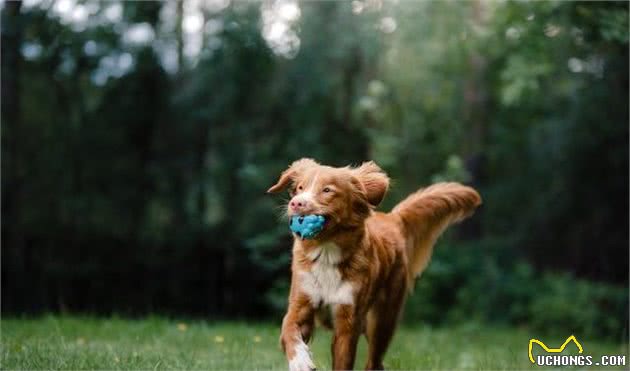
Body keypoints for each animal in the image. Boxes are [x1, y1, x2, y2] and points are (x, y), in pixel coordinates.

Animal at [268, 158, 484, 370]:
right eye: (300, 188)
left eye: (327, 190)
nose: (296, 203)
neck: (327, 252)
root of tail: (392, 219)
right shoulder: (301, 304)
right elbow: (289, 332)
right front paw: (300, 361)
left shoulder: (348, 321)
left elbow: (343, 360)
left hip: (381, 321)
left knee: (375, 361)